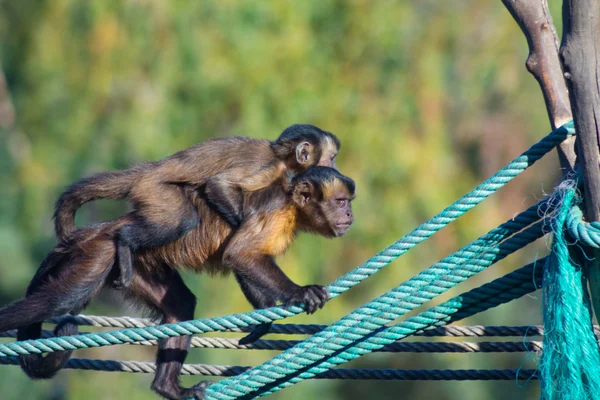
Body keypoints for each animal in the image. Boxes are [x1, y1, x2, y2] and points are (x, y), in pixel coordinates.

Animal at [1, 166, 356, 400]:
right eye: (341, 202)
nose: (350, 215)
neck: (294, 206)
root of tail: (104, 228)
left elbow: (242, 260)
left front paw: (263, 319)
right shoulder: (275, 212)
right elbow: (240, 254)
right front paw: (300, 293)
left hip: (135, 266)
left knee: (180, 307)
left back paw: (169, 389)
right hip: (100, 252)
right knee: (59, 301)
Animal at [53, 123, 340, 290]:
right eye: (332, 157)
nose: (335, 165)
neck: (282, 159)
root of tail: (148, 170)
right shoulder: (267, 167)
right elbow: (217, 186)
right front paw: (241, 222)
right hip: (156, 191)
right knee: (182, 220)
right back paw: (125, 241)